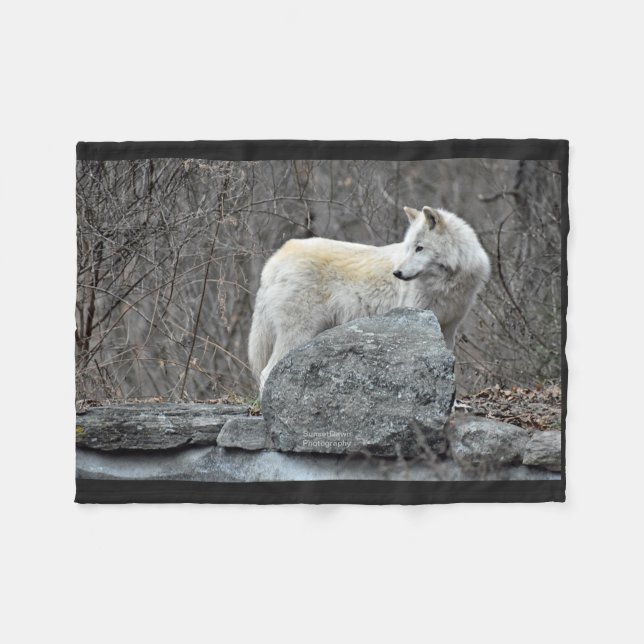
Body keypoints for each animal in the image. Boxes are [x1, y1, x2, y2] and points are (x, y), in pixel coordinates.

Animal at [248, 205, 491, 392]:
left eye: (419, 248)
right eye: (408, 248)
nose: (397, 273)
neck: (446, 285)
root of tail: (274, 260)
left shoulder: (448, 329)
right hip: (298, 334)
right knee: (266, 372)